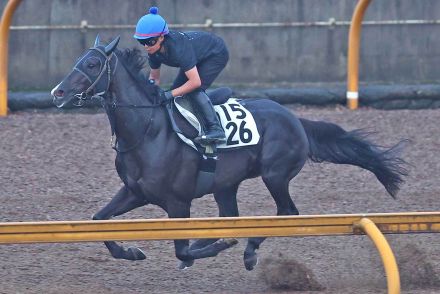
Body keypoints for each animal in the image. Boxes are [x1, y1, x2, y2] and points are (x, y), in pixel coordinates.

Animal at [49, 36, 408, 272]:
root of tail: (294, 118)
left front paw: (213, 246)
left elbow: (182, 251)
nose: (58, 92)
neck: (147, 130)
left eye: (92, 63)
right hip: (226, 185)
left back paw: (247, 250)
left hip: (275, 175)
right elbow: (98, 222)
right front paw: (132, 252)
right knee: (232, 215)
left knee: (286, 213)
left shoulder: (178, 203)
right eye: (78, 60)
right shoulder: (135, 192)